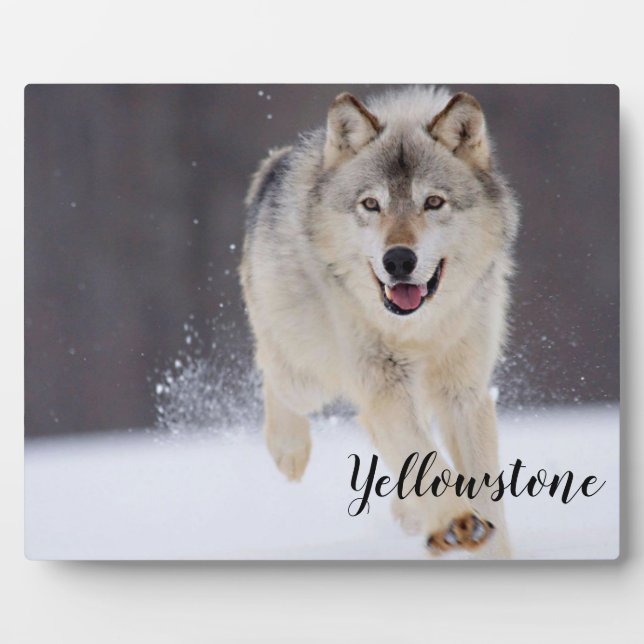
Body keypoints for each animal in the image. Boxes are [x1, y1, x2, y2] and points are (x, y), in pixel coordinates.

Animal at [240, 86, 519, 558]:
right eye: (371, 204)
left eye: (433, 202)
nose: (399, 260)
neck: (418, 329)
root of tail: (275, 165)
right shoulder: (384, 382)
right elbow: (424, 457)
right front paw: (456, 521)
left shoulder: (464, 392)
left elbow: (482, 487)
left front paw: (485, 543)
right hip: (308, 375)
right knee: (272, 371)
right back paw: (289, 450)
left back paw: (411, 515)